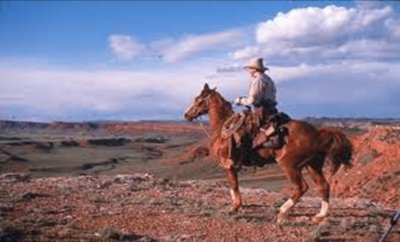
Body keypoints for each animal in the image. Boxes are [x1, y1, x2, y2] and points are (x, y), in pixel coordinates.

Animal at [183, 83, 352, 223]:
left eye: (198, 99)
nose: (186, 115)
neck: (223, 127)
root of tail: (317, 133)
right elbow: (233, 184)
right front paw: (236, 205)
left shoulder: (228, 163)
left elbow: (233, 185)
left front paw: (235, 207)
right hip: (312, 165)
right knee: (323, 186)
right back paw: (319, 215)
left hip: (290, 166)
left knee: (301, 187)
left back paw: (282, 212)